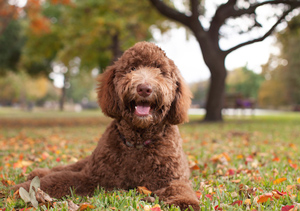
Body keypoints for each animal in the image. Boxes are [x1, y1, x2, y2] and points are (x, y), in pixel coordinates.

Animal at [14, 41, 202, 211]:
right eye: (132, 69)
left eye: (161, 72)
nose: (144, 88)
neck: (138, 142)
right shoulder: (94, 176)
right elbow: (59, 179)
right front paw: (21, 188)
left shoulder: (172, 177)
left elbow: (180, 188)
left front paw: (185, 202)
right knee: (66, 168)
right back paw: (38, 172)